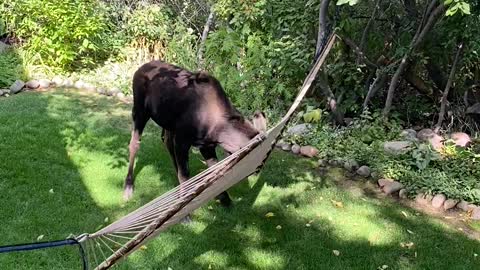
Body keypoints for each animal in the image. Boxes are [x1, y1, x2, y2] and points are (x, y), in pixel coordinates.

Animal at [123, 59, 266, 211]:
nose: (256, 172)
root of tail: (140, 68)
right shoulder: (182, 140)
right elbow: (185, 175)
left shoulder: (206, 146)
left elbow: (214, 171)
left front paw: (225, 199)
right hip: (140, 111)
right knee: (134, 144)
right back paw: (128, 186)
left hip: (168, 122)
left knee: (166, 140)